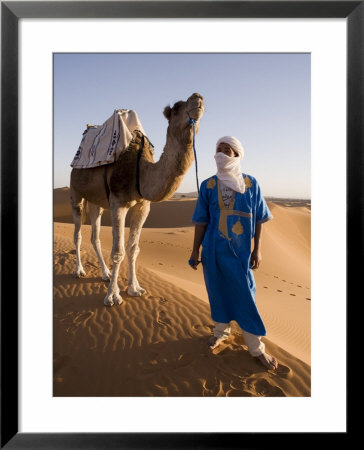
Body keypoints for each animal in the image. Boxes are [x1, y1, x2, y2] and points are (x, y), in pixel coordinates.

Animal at [69, 93, 205, 308]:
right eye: (176, 108)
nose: (197, 97)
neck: (140, 171)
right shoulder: (118, 203)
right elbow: (118, 251)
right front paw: (112, 296)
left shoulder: (143, 206)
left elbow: (133, 249)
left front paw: (134, 289)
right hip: (75, 192)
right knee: (78, 234)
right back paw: (79, 271)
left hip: (96, 201)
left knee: (95, 237)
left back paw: (106, 273)